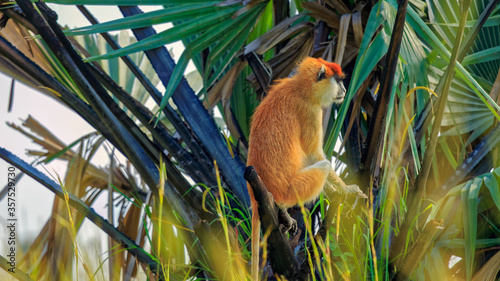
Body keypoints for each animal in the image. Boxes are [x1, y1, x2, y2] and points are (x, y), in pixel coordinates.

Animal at [245, 56, 364, 278]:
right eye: (338, 80)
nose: (344, 89)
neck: (300, 87)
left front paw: (337, 192)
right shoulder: (310, 111)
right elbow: (314, 155)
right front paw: (347, 189)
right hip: (292, 190)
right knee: (323, 166)